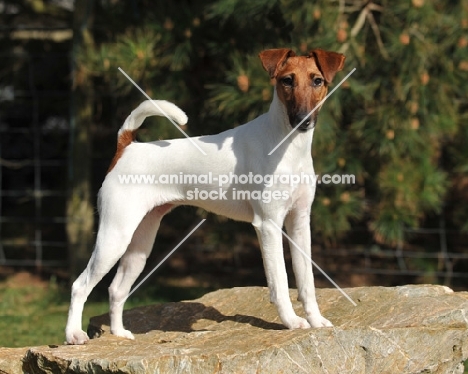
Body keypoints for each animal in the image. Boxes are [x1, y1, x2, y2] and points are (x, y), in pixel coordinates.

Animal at [66, 48, 344, 344]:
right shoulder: (268, 225)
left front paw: (316, 320)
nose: (303, 120)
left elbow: (307, 282)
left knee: (116, 289)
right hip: (114, 236)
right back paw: (74, 334)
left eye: (317, 81)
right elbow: (279, 282)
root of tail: (126, 146)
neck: (286, 145)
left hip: (139, 244)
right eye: (287, 81)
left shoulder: (299, 222)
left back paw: (119, 334)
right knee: (80, 285)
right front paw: (291, 321)